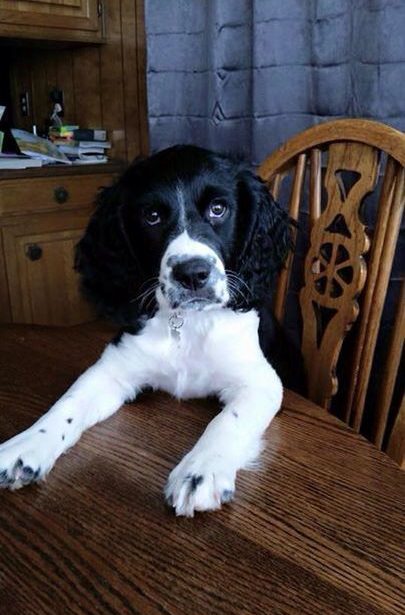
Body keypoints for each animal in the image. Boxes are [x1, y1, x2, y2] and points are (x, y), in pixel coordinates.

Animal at [0, 147, 304, 516]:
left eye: (218, 209)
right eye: (152, 216)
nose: (192, 274)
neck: (188, 324)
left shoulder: (260, 382)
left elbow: (226, 421)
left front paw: (199, 472)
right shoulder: (113, 368)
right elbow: (68, 404)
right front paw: (25, 446)